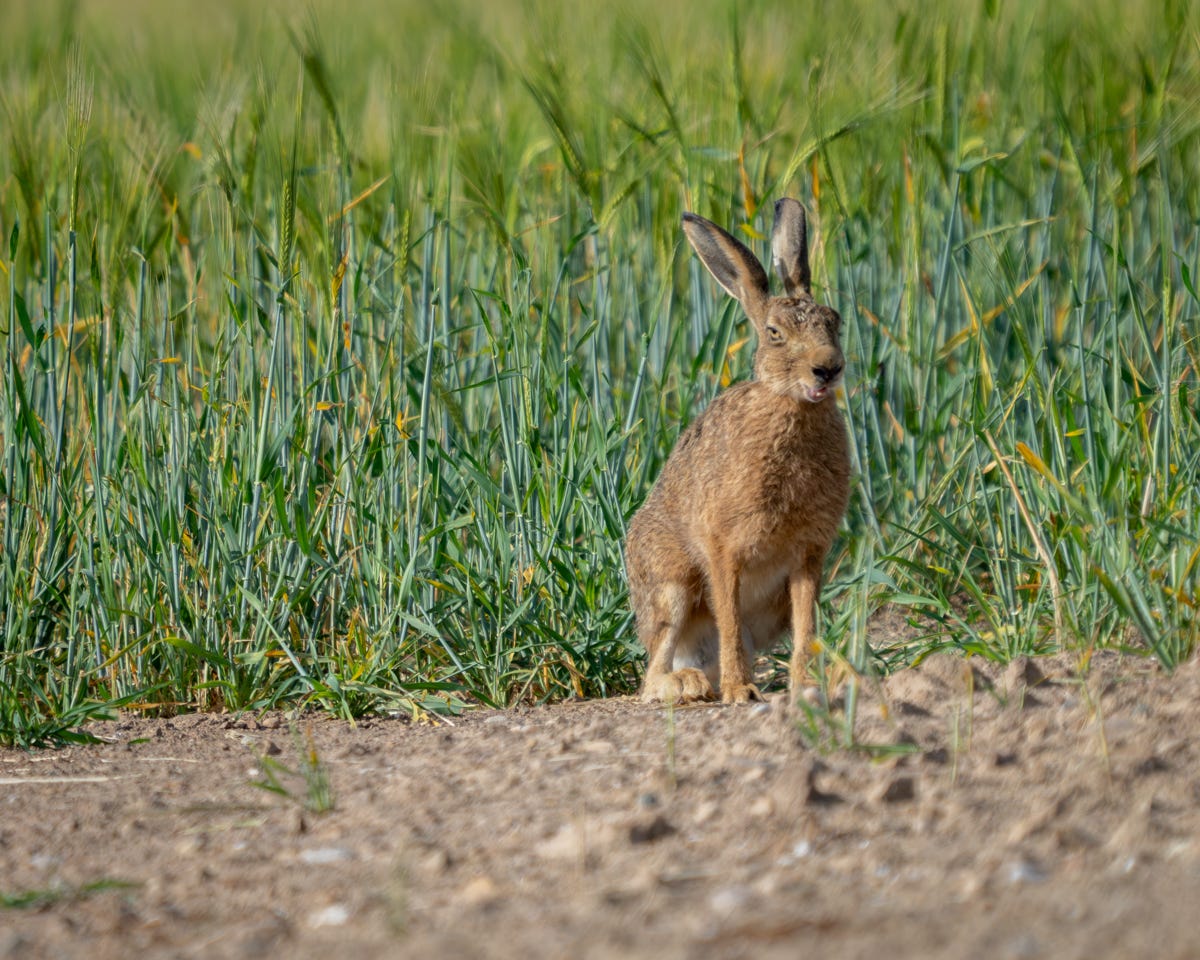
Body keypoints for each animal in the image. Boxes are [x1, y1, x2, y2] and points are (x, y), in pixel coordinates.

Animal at [626, 198, 851, 704]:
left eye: (835, 321)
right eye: (774, 332)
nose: (827, 368)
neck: (788, 406)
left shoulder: (808, 555)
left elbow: (807, 625)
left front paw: (806, 686)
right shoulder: (722, 549)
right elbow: (727, 617)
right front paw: (740, 690)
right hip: (671, 587)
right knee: (653, 671)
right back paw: (687, 684)